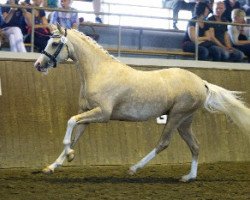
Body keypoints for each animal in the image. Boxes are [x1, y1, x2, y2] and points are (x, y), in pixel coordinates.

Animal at [33, 24, 250, 182]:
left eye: (55, 43)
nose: (38, 65)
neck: (99, 72)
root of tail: (202, 83)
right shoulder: (87, 113)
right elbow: (74, 134)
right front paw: (53, 165)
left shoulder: (102, 114)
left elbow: (70, 122)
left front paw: (69, 154)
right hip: (184, 121)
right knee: (195, 146)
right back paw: (189, 177)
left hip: (176, 116)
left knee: (163, 143)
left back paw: (134, 168)